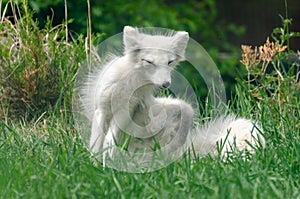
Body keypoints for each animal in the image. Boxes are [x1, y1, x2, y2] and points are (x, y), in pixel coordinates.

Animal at [80, 25, 264, 164]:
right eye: (149, 62)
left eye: (169, 62)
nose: (166, 84)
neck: (129, 84)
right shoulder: (101, 109)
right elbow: (96, 142)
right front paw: (95, 164)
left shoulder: (125, 113)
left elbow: (109, 140)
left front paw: (104, 161)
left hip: (186, 110)